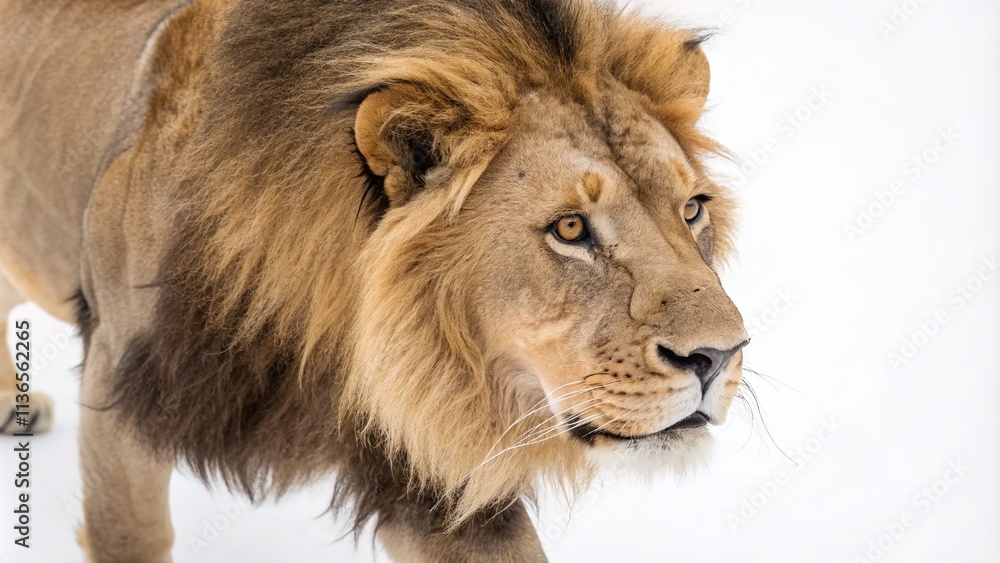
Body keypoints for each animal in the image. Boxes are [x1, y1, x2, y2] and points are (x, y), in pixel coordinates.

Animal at [0, 0, 748, 560]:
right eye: (569, 229)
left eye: (691, 210)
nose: (718, 357)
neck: (332, 334)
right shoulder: (119, 382)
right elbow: (135, 534)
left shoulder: (423, 462)